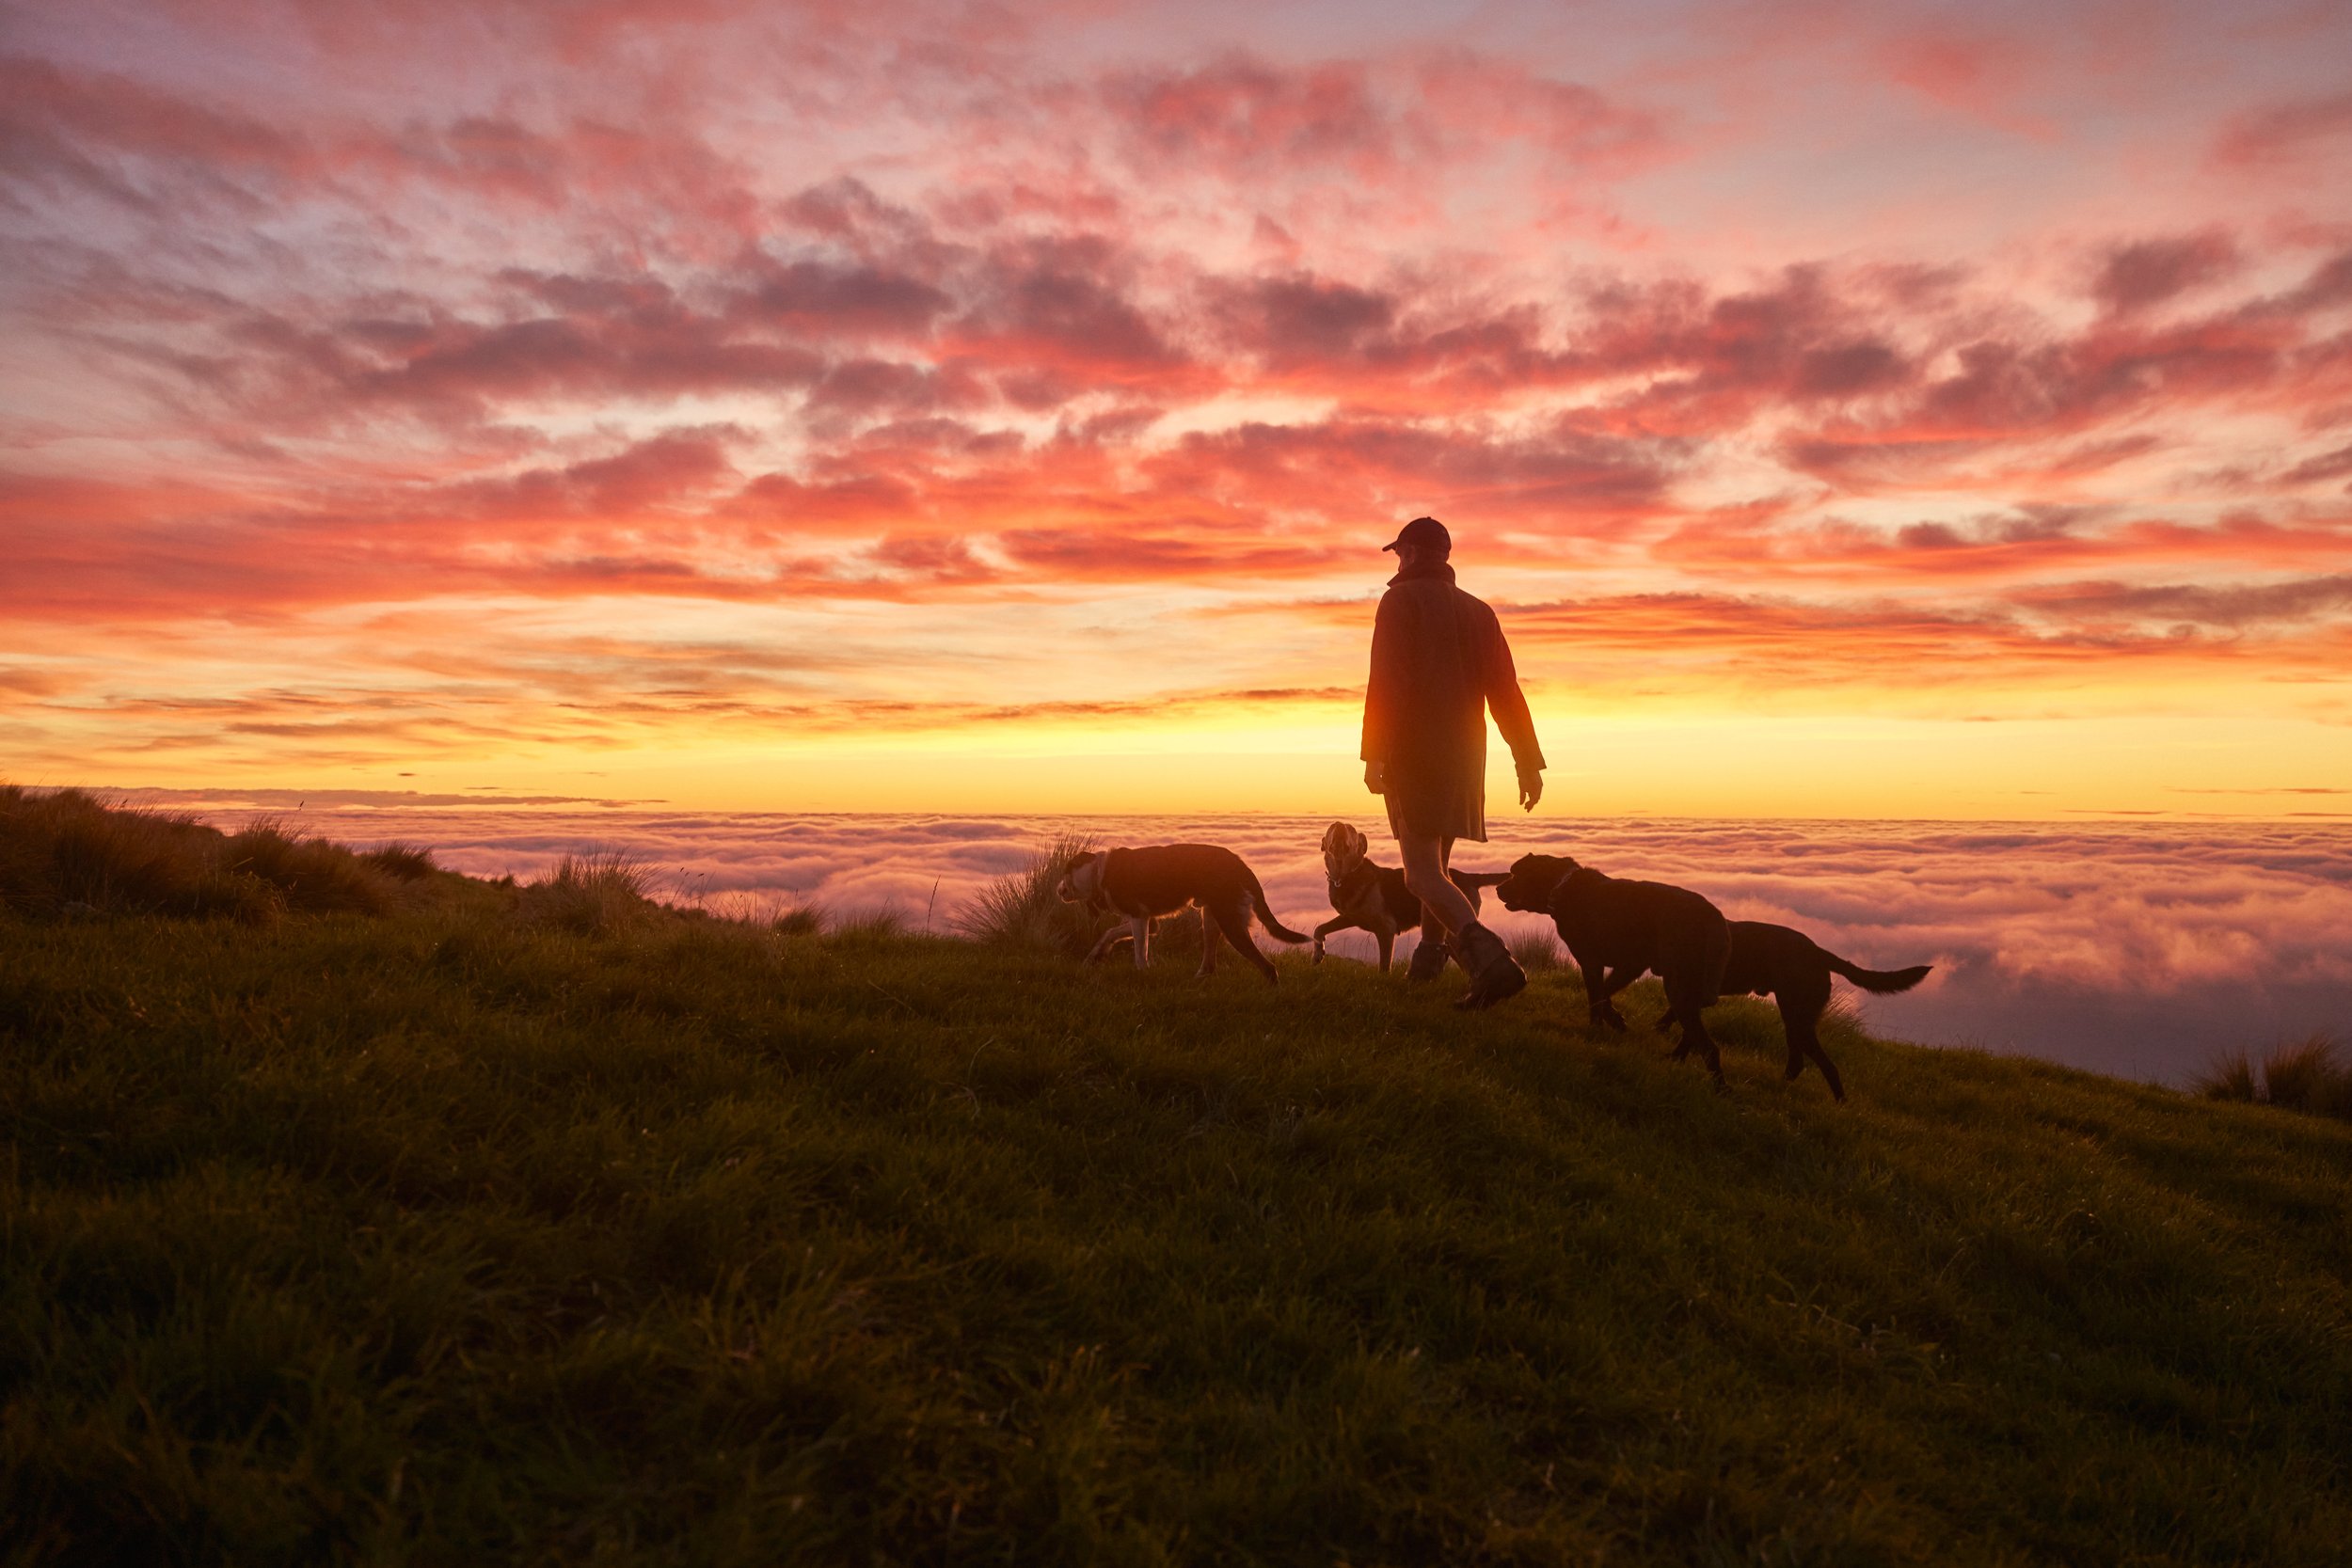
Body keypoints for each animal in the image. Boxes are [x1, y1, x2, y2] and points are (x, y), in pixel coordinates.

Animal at [1058, 846, 1317, 982]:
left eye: (1066, 873)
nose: (1058, 891)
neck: (1100, 870)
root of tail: (1240, 865)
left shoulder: (1139, 918)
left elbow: (1140, 953)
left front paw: (1143, 973)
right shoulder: (1148, 921)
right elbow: (1110, 933)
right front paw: (1096, 955)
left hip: (1230, 922)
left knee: (1267, 967)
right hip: (1211, 918)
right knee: (1210, 963)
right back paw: (1197, 980)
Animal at [1308, 827, 1505, 973]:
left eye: (1350, 829)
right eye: (1331, 828)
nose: (1339, 825)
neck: (1347, 876)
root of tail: (1470, 877)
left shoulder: (1386, 929)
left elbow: (1384, 965)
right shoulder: (1349, 917)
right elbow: (1320, 928)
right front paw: (1318, 954)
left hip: (1452, 932)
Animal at [1496, 850, 1740, 1085]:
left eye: (1518, 874)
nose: (1498, 888)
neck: (1562, 886)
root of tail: (1715, 920)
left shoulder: (1591, 962)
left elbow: (1595, 998)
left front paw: (1597, 1030)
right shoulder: (1629, 966)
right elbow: (1604, 994)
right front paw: (1616, 1021)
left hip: (1678, 986)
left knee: (1708, 1046)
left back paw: (1720, 1088)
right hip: (1692, 988)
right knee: (1692, 1034)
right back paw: (1675, 1059)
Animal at [1712, 921, 1929, 1104]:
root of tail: (1817, 952)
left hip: (1798, 1021)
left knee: (1826, 1066)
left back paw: (1840, 1105)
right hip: (1795, 1021)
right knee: (1798, 1063)